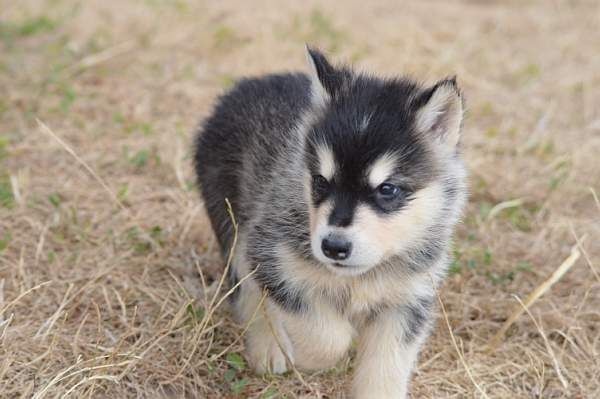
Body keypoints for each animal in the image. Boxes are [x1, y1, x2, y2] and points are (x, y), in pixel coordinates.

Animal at [195, 48, 466, 398]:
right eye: (321, 182)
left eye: (387, 189)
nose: (333, 247)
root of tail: (251, 82)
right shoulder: (272, 256)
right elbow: (329, 337)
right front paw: (305, 356)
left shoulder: (407, 300)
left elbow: (386, 367)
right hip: (233, 224)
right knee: (247, 289)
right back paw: (269, 346)